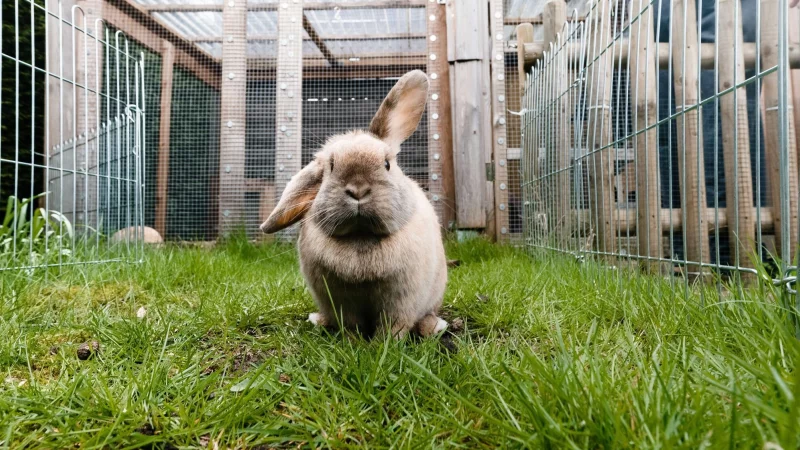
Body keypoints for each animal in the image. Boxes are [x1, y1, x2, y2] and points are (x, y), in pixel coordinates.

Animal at [259, 70, 448, 339]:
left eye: (387, 164)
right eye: (331, 166)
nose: (358, 190)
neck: (361, 237)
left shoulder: (401, 304)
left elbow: (394, 327)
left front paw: (385, 344)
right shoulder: (341, 303)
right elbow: (351, 325)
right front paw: (354, 343)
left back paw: (434, 327)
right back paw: (318, 320)